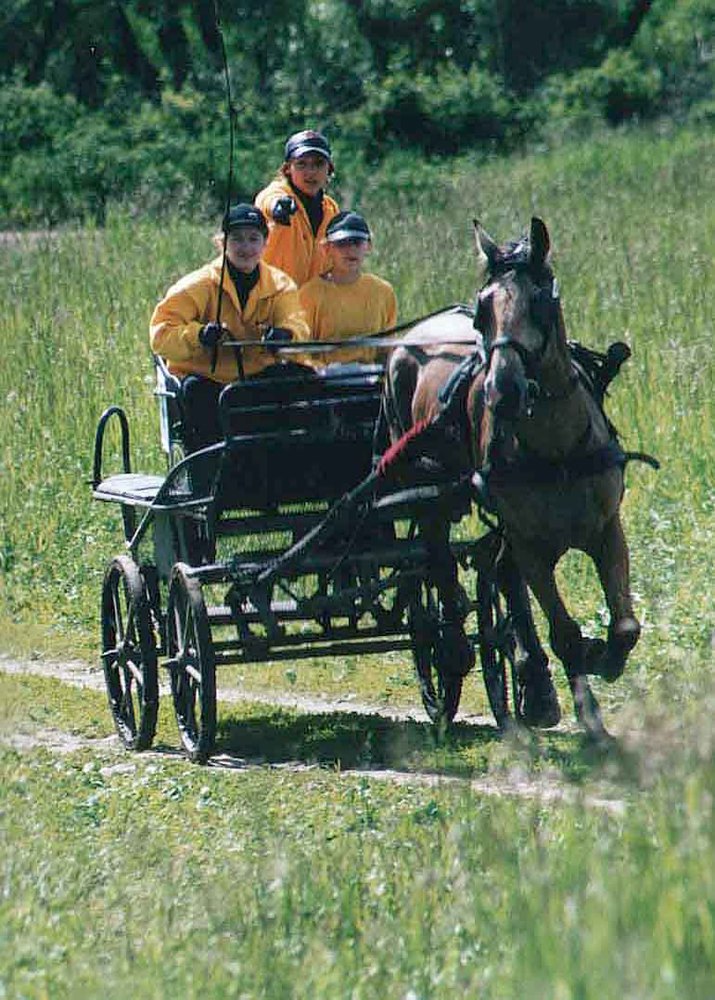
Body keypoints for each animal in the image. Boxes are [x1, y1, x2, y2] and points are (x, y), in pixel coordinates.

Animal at [386, 217, 644, 736]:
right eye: (483, 309)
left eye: (541, 300)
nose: (501, 391)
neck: (557, 449)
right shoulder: (532, 547)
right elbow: (564, 633)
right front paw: (593, 724)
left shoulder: (607, 530)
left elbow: (625, 627)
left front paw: (604, 658)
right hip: (430, 492)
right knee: (440, 557)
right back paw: (452, 648)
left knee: (499, 570)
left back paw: (531, 683)